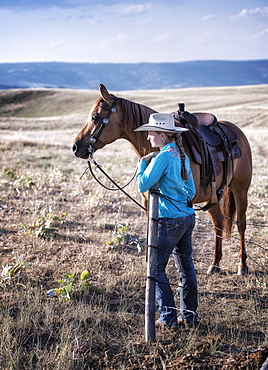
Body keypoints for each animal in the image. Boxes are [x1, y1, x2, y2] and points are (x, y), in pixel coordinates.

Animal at [72, 84, 252, 274]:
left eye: (95, 117)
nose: (75, 147)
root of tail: (236, 131)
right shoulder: (149, 204)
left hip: (240, 189)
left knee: (241, 224)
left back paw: (242, 265)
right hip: (214, 195)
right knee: (218, 222)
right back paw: (215, 264)